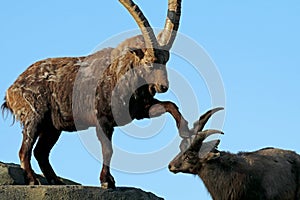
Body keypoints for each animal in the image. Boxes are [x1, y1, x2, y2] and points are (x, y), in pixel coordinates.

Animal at [1, 0, 190, 189]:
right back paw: (33, 180)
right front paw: (107, 181)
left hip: (52, 127)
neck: (120, 74)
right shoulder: (102, 119)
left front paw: (185, 133)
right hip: (34, 118)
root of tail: (11, 90)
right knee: (25, 150)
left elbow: (170, 105)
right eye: (150, 63)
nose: (162, 86)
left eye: (166, 61)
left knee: (41, 152)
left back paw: (55, 180)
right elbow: (108, 149)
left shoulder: (140, 110)